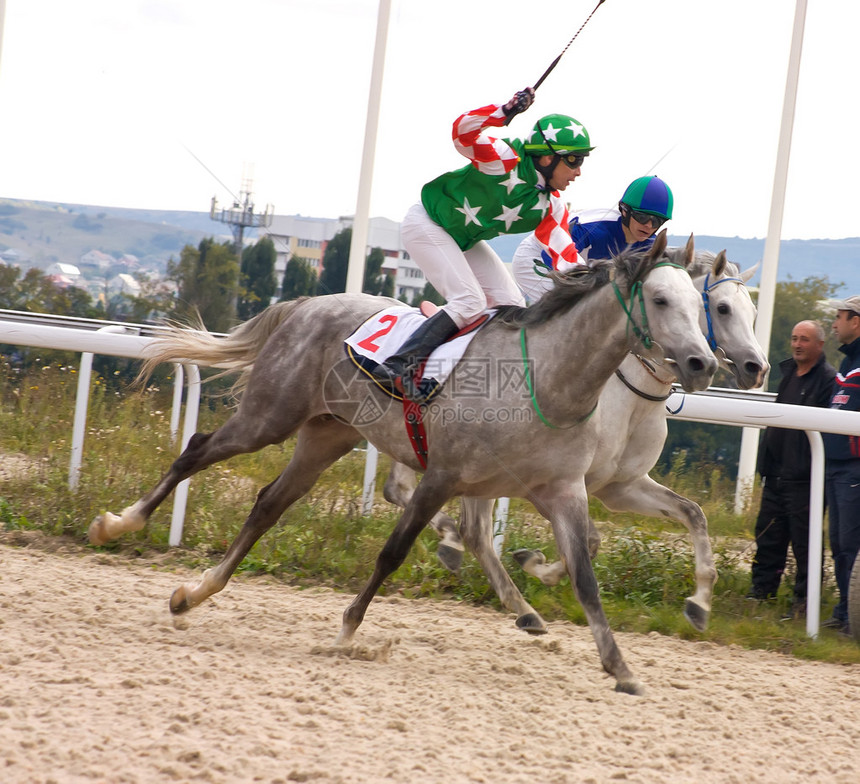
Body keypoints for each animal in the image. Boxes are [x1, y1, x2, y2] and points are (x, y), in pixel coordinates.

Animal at [90, 231, 716, 692]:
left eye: (700, 305)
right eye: (661, 300)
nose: (703, 362)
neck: (548, 378)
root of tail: (308, 304)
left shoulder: (564, 491)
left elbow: (586, 576)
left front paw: (621, 667)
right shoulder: (442, 477)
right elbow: (393, 553)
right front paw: (347, 631)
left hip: (326, 437)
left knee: (268, 504)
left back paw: (194, 593)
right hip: (270, 416)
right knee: (198, 450)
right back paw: (118, 524)